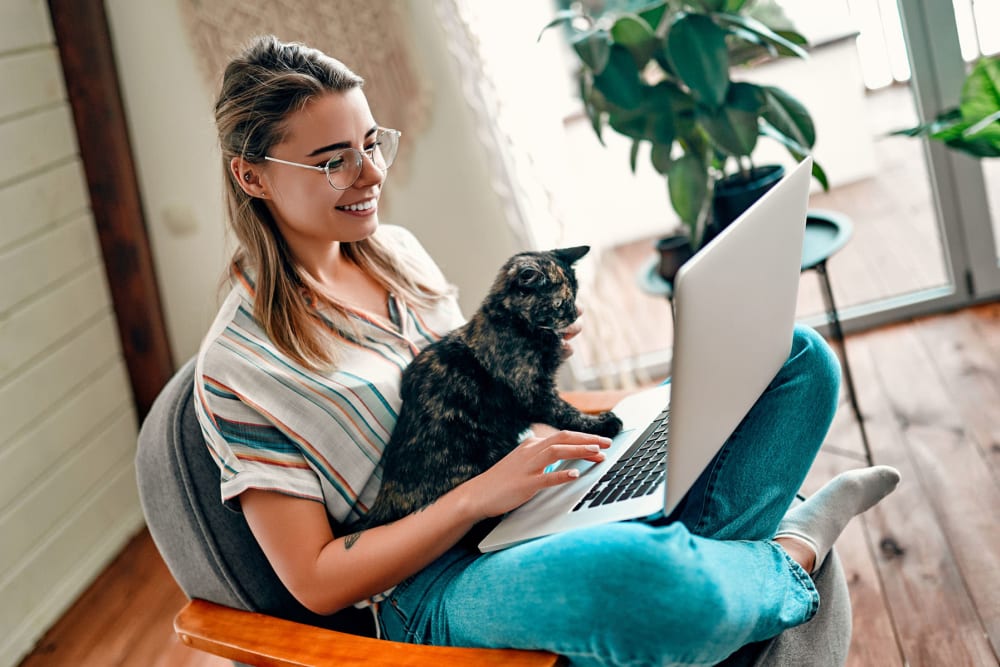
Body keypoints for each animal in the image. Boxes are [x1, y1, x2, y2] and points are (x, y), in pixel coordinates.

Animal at [364, 248, 620, 528]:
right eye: (560, 303)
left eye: (575, 295)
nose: (574, 314)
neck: (511, 322)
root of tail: (386, 496)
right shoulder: (533, 391)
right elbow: (566, 412)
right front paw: (602, 425)